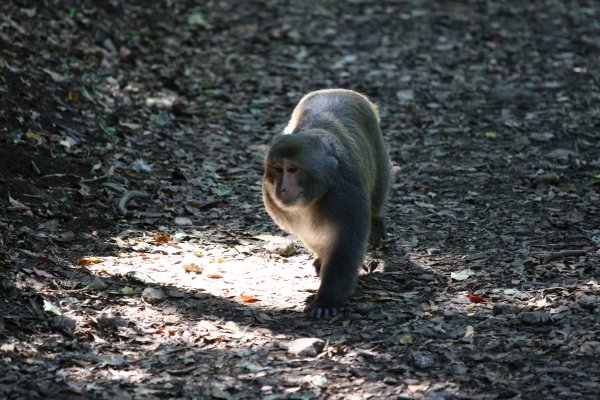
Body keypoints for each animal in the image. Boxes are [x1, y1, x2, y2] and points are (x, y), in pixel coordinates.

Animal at [262, 88, 392, 318]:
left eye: (292, 169)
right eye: (278, 169)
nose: (282, 188)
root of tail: (341, 90)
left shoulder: (346, 193)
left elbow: (346, 244)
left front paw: (326, 299)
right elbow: (310, 236)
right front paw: (322, 260)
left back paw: (377, 219)